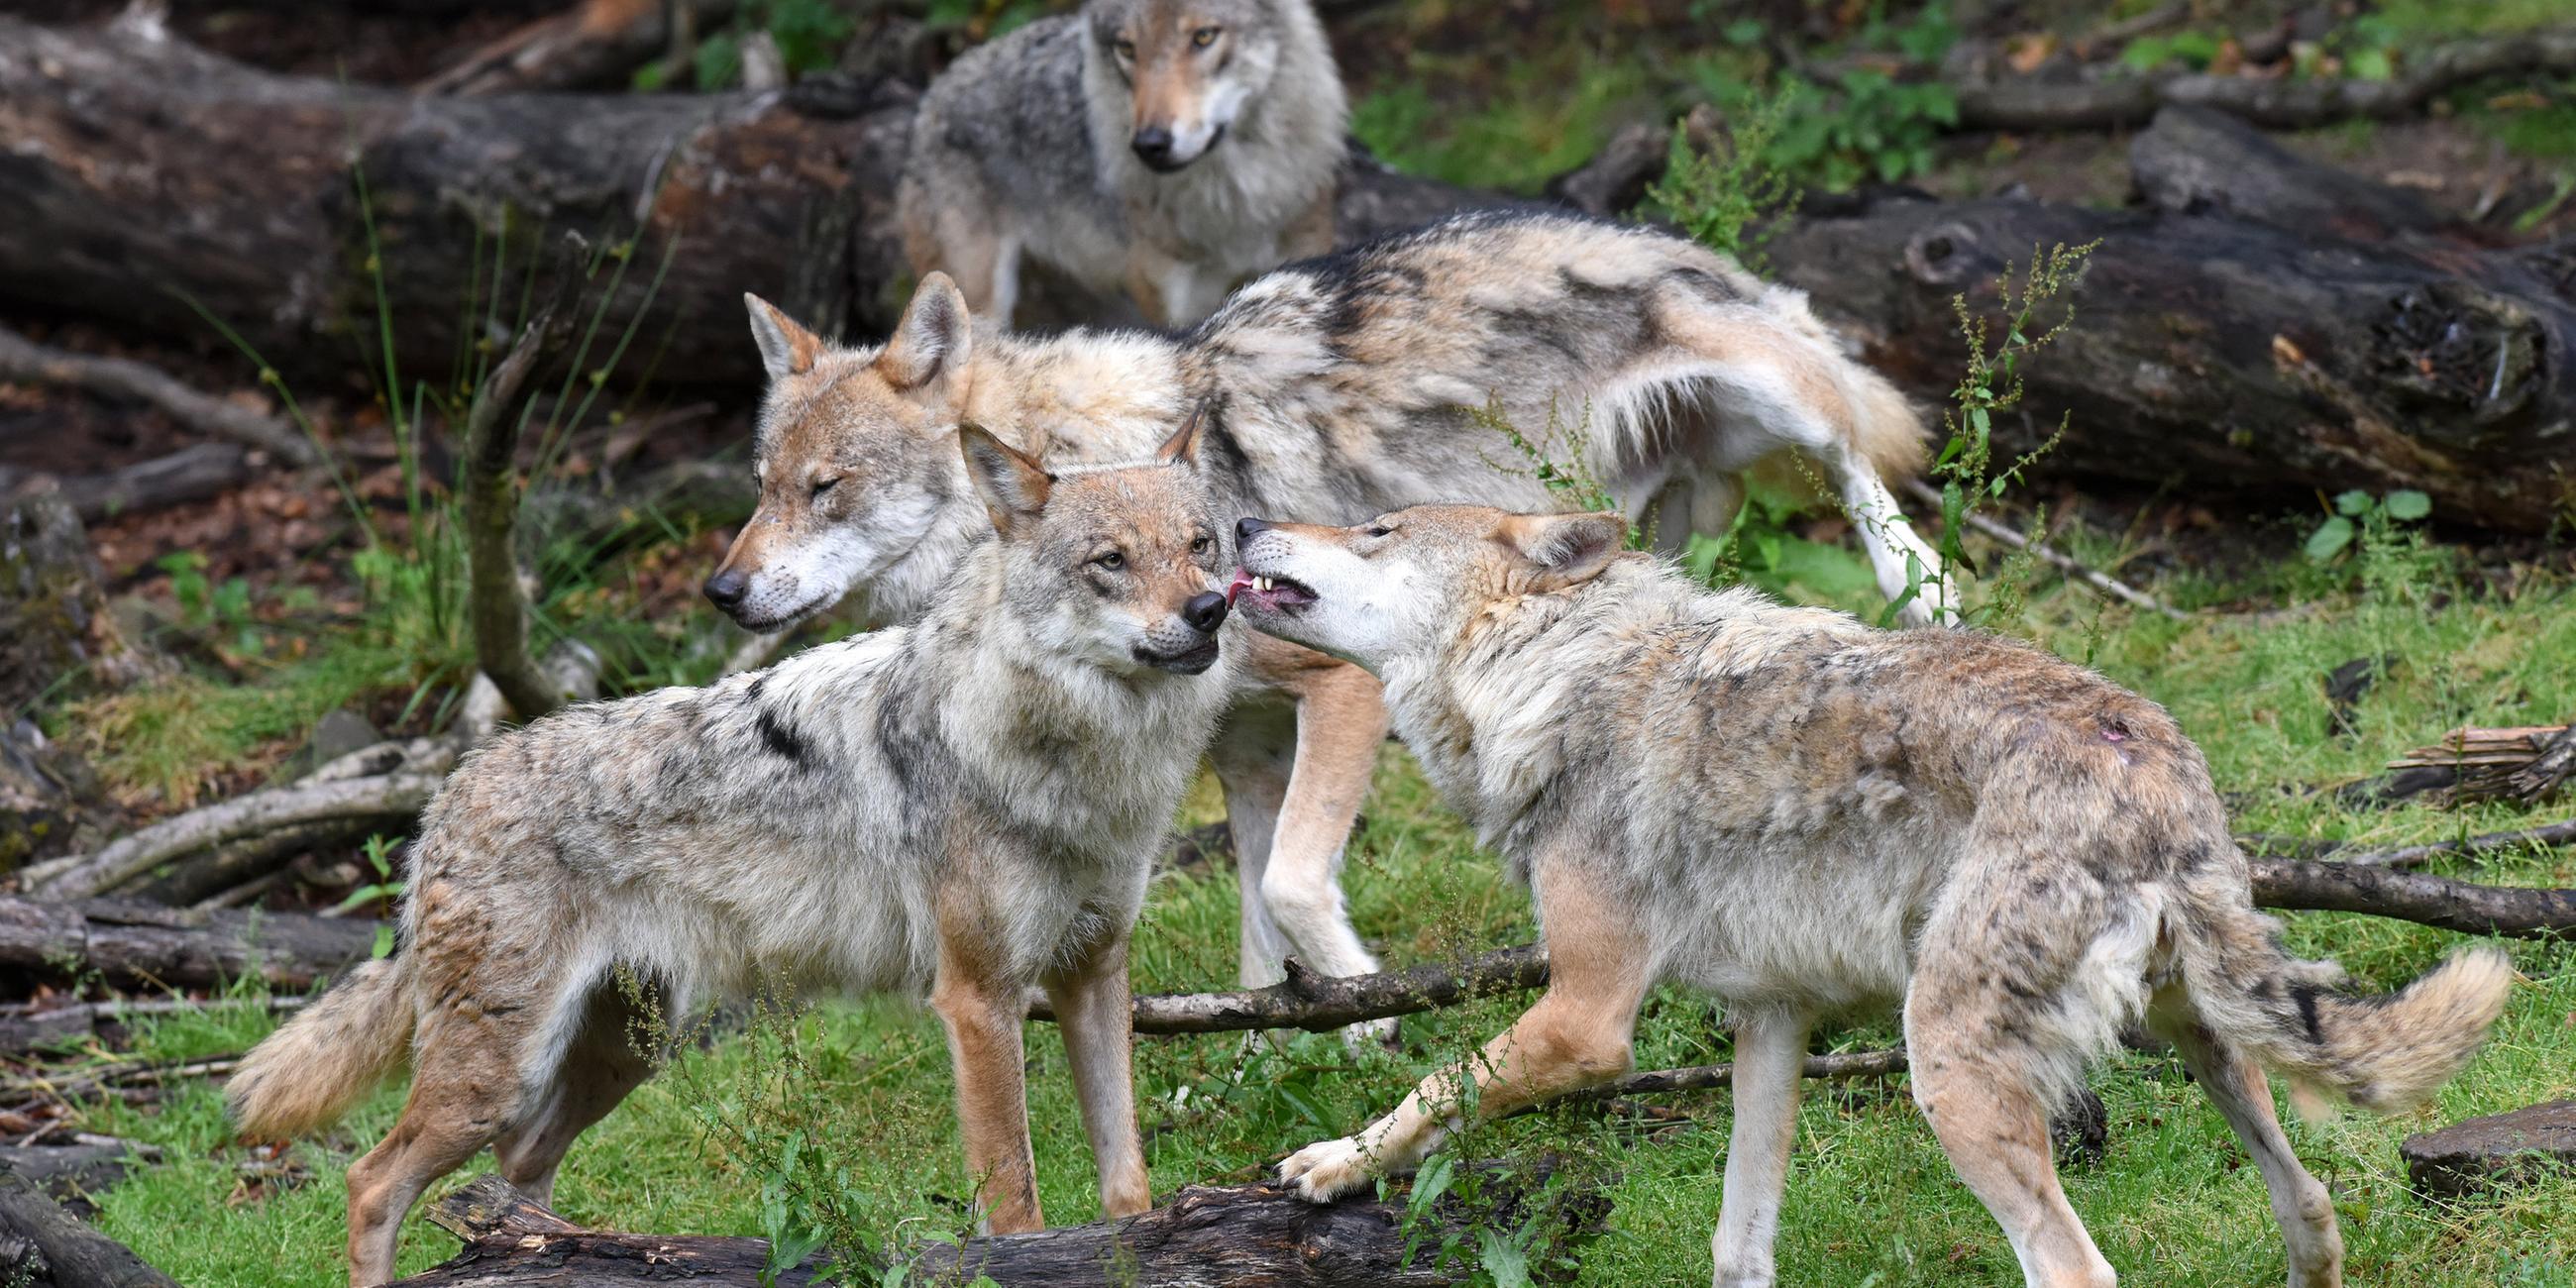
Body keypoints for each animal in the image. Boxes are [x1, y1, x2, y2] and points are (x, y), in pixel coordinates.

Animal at [226, 422, 1231, 1288]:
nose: (1212, 608)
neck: (1082, 768)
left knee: (515, 1181)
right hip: (496, 1079)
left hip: (618, 1058)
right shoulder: (980, 1002)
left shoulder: (1094, 972)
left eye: (1202, 544)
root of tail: (448, 794)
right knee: (370, 1183)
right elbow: (1015, 1206)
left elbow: (1128, 1183)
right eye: (1111, 561)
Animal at [705, 208, 1947, 1045]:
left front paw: (1363, 1008)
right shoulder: (1246, 751)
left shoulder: (1344, 687)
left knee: (1869, 465)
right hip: (1664, 516)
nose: (722, 591)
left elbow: (1295, 888)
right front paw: (1273, 1037)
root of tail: (1646, 225)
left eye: (825, 488)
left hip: (1783, 401)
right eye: (762, 485)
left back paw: (1920, 587)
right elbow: (1261, 915)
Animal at [901, 0, 1349, 329]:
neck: (1229, 198)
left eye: (1203, 36)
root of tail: (934, 93)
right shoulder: (1169, 297)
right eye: (1127, 48)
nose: (1150, 144)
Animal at [1236, 501, 2504, 1288]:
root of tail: (2153, 769)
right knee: (2312, 1207)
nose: (1241, 522)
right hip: (2198, 1044)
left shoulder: (1584, 1018)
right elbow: (1738, 1246)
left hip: (1944, 1071)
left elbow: (1432, 1085)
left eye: (1376, 526)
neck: (1558, 673)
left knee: (2076, 1266)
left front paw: (1329, 1164)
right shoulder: (1770, 1022)